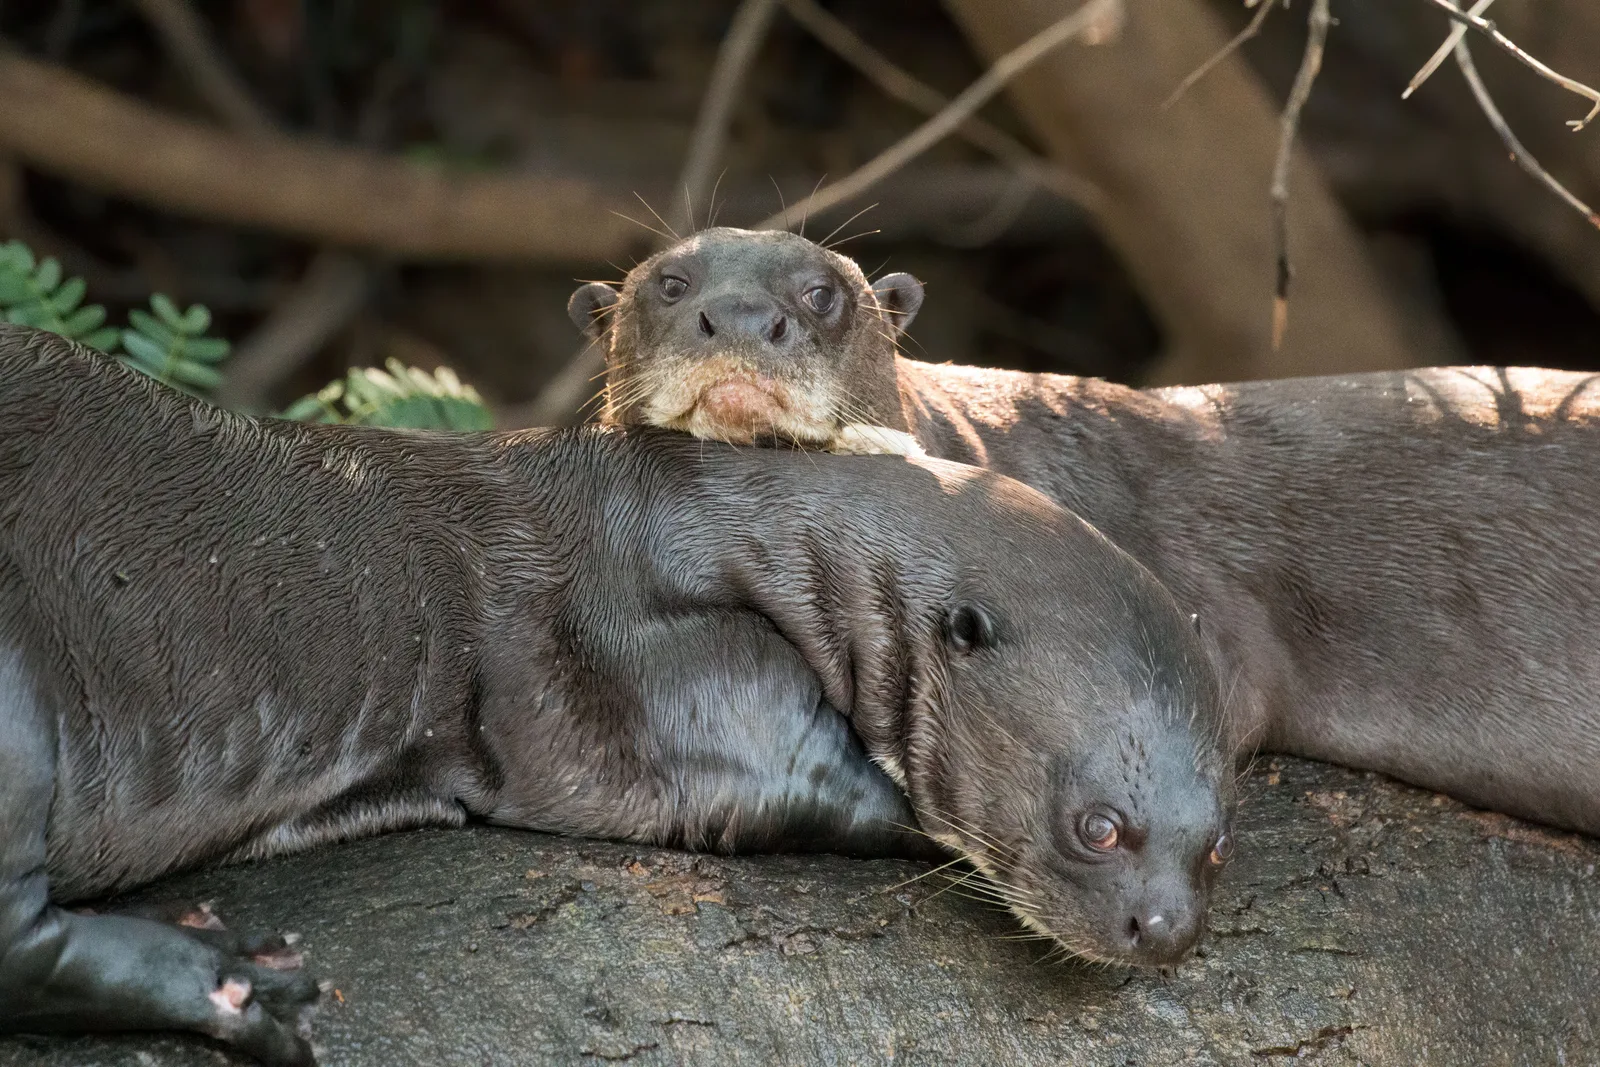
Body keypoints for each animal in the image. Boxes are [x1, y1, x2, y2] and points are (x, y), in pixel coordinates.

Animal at [0, 325, 1232, 1066]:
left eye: (1215, 842)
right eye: (1099, 825)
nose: (1164, 928)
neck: (704, 516)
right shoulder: (615, 654)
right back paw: (233, 986)